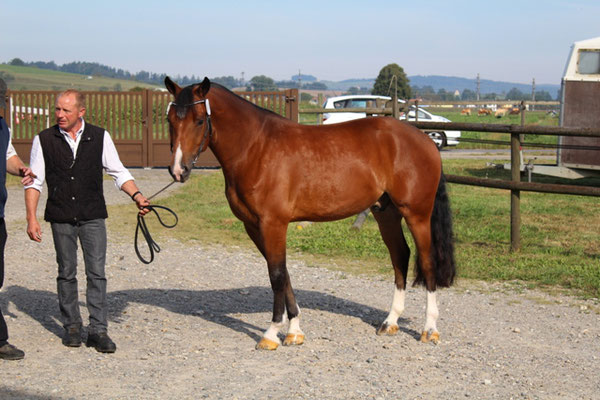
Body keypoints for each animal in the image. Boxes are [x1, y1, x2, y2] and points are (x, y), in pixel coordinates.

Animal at [164, 77, 454, 350]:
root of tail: (425, 140)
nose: (178, 170)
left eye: (199, 121)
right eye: (170, 119)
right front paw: (294, 331)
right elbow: (282, 273)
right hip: (386, 213)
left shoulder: (273, 223)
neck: (256, 148)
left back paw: (430, 329)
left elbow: (277, 275)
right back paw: (390, 322)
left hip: (416, 214)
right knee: (400, 257)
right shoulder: (253, 226)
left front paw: (271, 334)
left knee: (426, 262)